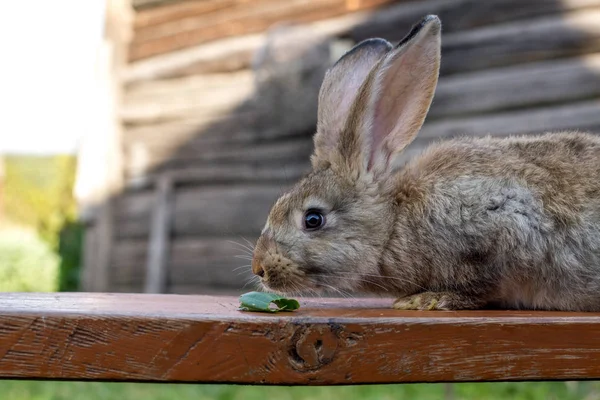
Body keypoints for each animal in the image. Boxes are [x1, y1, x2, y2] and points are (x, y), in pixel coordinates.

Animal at [251, 15, 600, 310]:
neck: (394, 223)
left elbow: (480, 285)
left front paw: (428, 300)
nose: (260, 267)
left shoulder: (504, 224)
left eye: (313, 219)